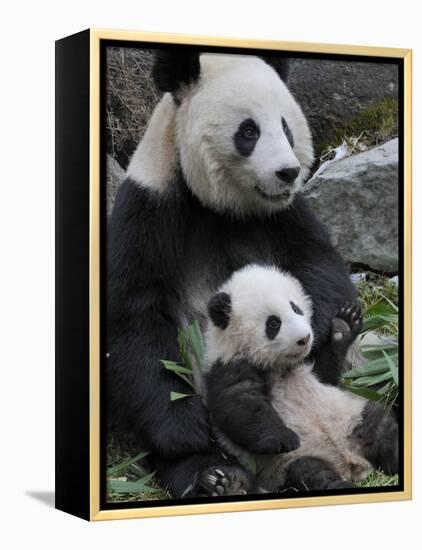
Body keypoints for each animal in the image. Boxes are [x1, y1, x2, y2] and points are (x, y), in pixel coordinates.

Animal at [107, 50, 358, 500]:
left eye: (286, 127)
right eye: (249, 131)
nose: (288, 172)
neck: (220, 204)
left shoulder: (285, 213)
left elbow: (319, 261)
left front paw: (318, 334)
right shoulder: (151, 205)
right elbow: (135, 315)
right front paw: (186, 433)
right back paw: (217, 477)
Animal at [204, 266, 398, 494]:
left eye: (295, 308)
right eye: (273, 323)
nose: (305, 338)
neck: (279, 366)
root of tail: (352, 465)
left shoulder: (311, 368)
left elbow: (328, 375)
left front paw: (344, 326)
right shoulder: (228, 366)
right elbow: (241, 405)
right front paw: (284, 438)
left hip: (352, 416)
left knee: (382, 430)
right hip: (291, 464)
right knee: (313, 475)